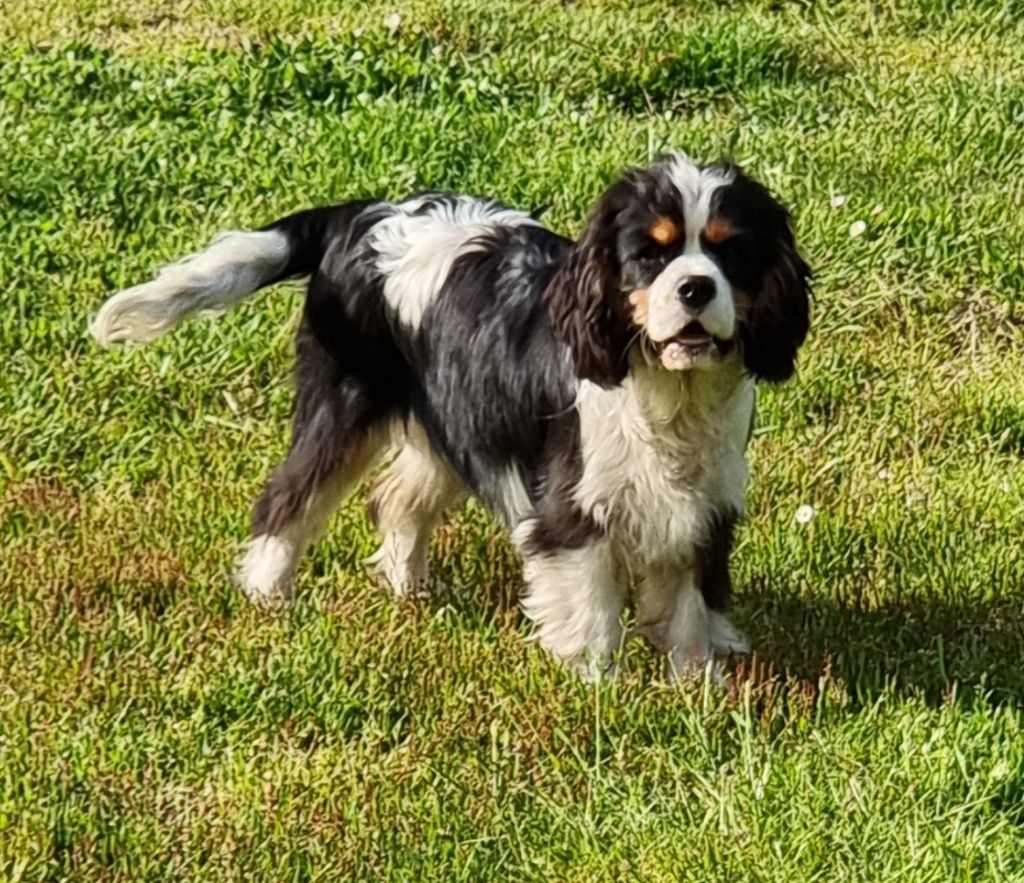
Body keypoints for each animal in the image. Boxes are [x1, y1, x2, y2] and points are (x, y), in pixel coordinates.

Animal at [90, 153, 810, 680]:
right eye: (650, 256)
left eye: (730, 253)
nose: (695, 287)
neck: (665, 387)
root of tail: (360, 215)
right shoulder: (572, 511)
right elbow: (591, 609)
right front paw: (599, 687)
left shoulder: (702, 504)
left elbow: (690, 603)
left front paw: (698, 683)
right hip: (343, 403)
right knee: (288, 497)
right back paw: (269, 594)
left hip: (450, 423)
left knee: (398, 500)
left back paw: (408, 590)